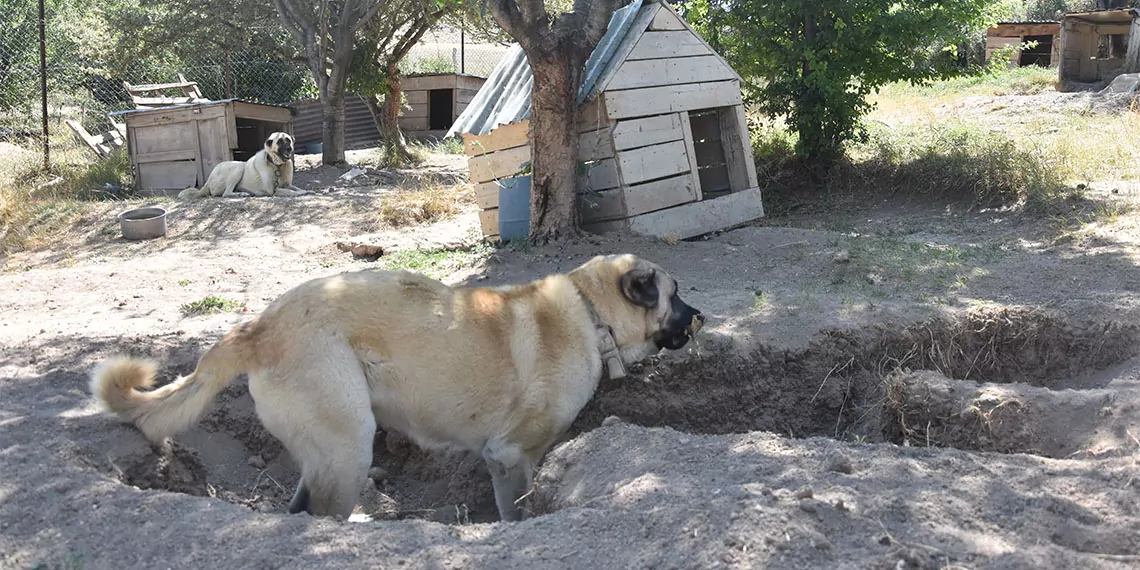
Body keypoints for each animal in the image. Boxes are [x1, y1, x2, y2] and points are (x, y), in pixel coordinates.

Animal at [175, 131, 307, 200]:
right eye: (279, 142)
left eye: (288, 140)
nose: (289, 148)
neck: (277, 165)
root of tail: (209, 179)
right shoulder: (272, 190)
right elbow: (290, 192)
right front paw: (298, 194)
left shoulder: (287, 184)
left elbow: (295, 188)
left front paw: (304, 191)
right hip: (237, 167)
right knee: (226, 193)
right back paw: (241, 194)